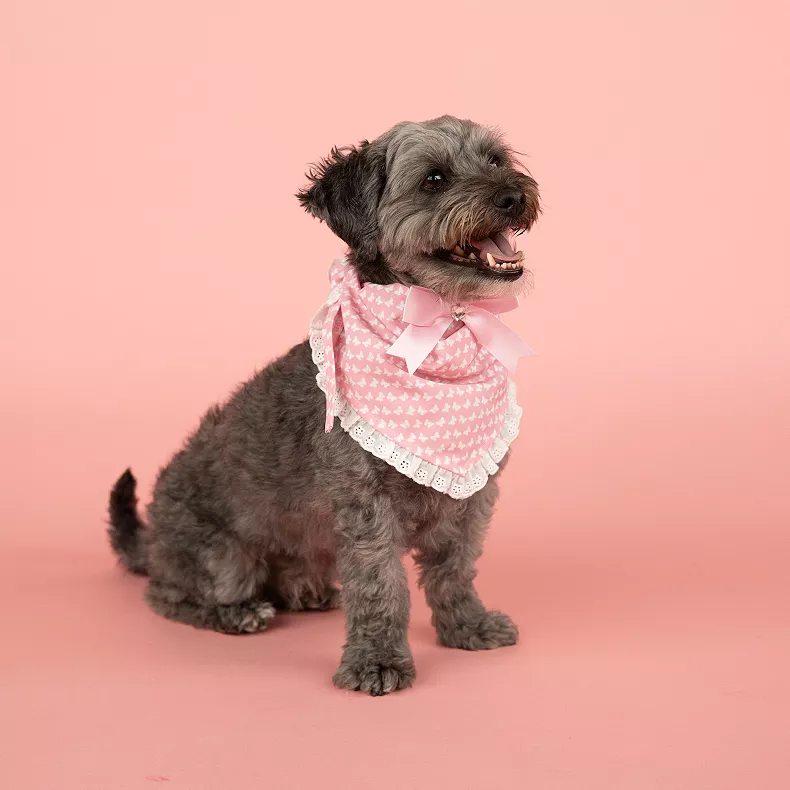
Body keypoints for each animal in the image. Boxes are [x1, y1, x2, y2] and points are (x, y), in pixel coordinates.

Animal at [108, 114, 540, 696]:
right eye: (434, 179)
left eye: (496, 160)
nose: (513, 195)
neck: (437, 325)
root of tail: (152, 538)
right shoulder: (366, 507)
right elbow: (381, 585)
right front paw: (377, 660)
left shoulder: (471, 498)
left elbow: (455, 569)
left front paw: (466, 625)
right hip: (220, 556)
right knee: (169, 594)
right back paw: (236, 612)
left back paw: (304, 589)